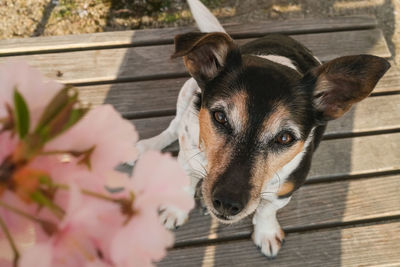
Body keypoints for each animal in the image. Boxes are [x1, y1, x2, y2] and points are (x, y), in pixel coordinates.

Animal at [133, 0, 390, 260]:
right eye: (220, 117)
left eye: (285, 137)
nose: (228, 204)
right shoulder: (187, 160)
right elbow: (185, 184)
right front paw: (176, 210)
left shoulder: (284, 189)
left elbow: (266, 211)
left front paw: (266, 233)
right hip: (187, 90)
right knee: (173, 126)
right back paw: (148, 145)